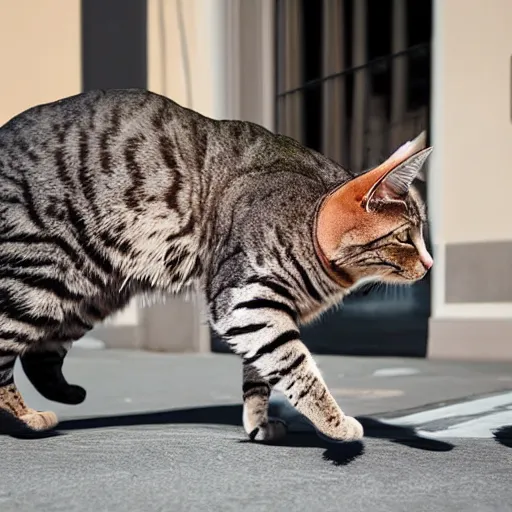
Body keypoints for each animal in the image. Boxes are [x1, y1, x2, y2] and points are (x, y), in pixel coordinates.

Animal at [0, 88, 432, 440]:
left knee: (40, 354)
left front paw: (258, 423)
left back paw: (63, 395)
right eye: (404, 237)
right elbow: (296, 367)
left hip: (87, 290)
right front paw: (334, 423)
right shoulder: (243, 300)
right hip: (39, 277)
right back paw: (24, 418)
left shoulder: (261, 311)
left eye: (422, 230)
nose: (430, 263)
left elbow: (259, 375)